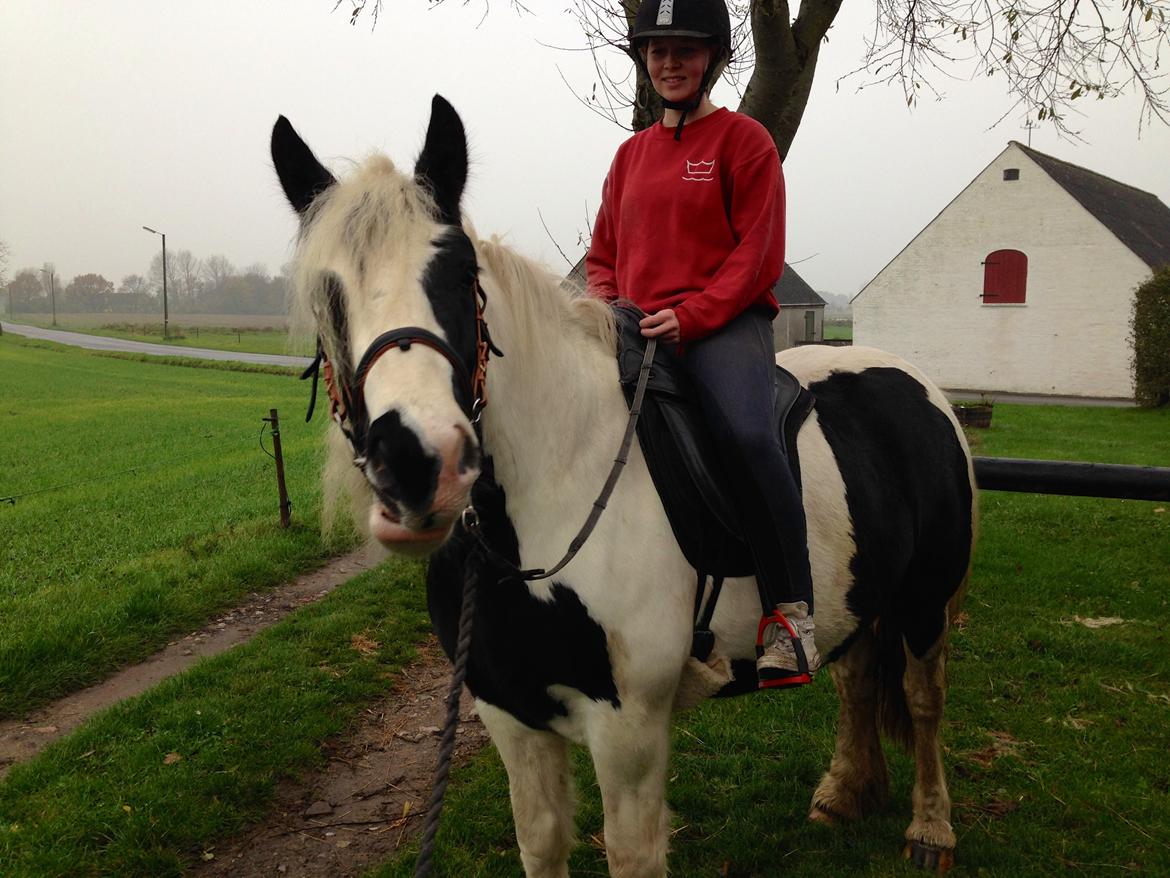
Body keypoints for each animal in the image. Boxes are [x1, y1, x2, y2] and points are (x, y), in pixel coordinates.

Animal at [269, 97, 973, 878]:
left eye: (459, 275)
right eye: (327, 297)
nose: (417, 462)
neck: (551, 498)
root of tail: (916, 384)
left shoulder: (627, 731)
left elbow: (630, 855)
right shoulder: (510, 716)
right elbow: (541, 844)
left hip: (925, 600)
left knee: (923, 699)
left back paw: (931, 828)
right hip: (860, 592)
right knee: (858, 679)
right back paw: (845, 793)